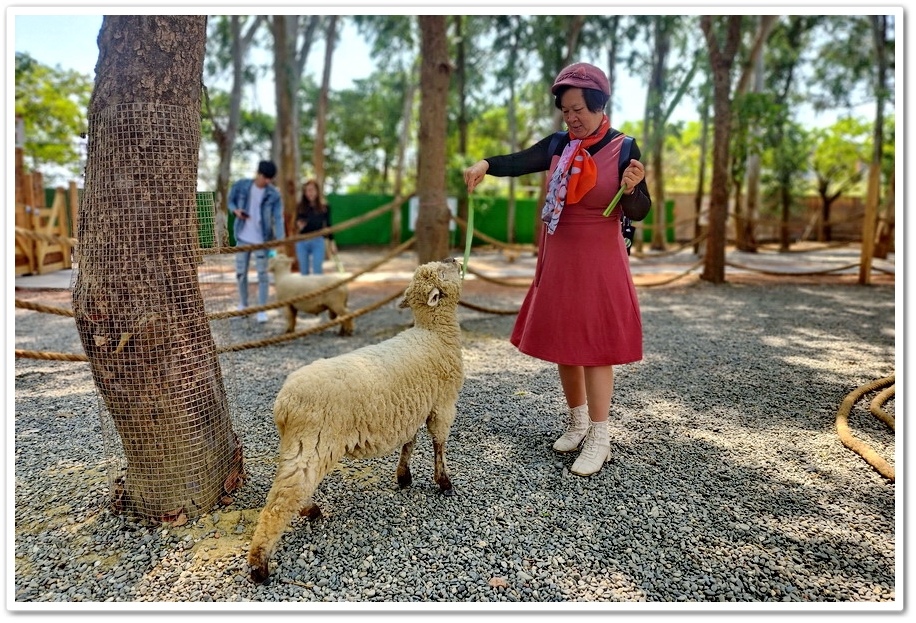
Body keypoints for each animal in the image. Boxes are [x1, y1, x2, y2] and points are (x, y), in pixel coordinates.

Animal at [247, 258, 466, 584]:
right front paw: (444, 482)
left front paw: (404, 476)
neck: (434, 333)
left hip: (299, 443)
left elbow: (409, 443)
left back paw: (309, 512)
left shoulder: (414, 408)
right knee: (283, 498)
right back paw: (259, 565)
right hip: (315, 441)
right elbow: (439, 443)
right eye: (442, 272)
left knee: (290, 486)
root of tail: (284, 403)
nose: (454, 259)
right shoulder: (443, 404)